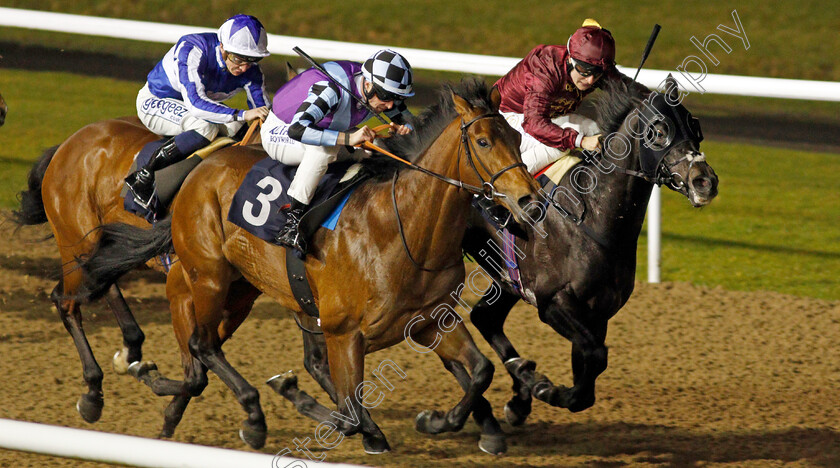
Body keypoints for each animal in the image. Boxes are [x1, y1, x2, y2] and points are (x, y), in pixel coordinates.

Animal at [80, 79, 544, 454]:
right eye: (483, 142)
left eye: (516, 136)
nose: (529, 200)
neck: (404, 230)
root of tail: (202, 167)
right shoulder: (344, 332)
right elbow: (351, 412)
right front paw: (298, 397)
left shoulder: (429, 320)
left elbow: (480, 371)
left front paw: (438, 420)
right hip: (209, 275)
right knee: (202, 344)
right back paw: (243, 413)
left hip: (242, 289)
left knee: (203, 353)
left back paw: (166, 402)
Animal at [462, 73, 720, 424]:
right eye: (659, 131)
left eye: (695, 126)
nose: (705, 182)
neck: (590, 214)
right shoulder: (553, 302)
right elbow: (596, 356)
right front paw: (548, 391)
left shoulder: (598, 311)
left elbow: (588, 372)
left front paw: (537, 392)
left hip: (506, 278)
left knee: (485, 317)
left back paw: (519, 397)